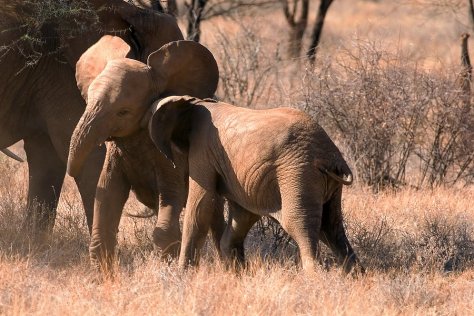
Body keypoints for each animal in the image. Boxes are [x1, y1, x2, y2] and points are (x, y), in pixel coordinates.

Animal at [0, 0, 183, 237]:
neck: (134, 12)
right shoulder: (61, 73)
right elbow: (90, 157)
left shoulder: (44, 78)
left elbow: (48, 159)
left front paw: (34, 241)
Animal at [150, 95, 362, 272]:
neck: (195, 102)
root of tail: (330, 156)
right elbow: (243, 215)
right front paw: (237, 274)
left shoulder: (202, 149)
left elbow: (200, 207)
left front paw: (182, 274)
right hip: (325, 183)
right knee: (331, 227)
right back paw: (356, 275)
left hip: (299, 173)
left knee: (300, 223)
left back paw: (314, 277)